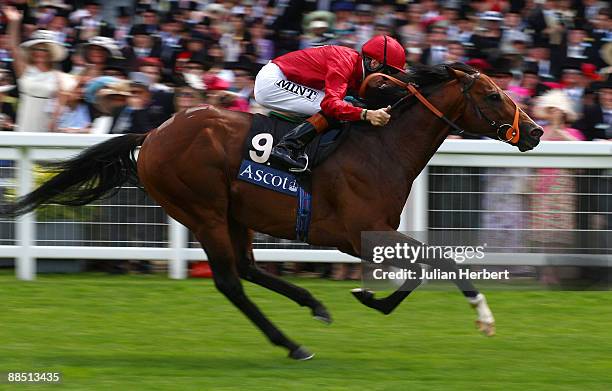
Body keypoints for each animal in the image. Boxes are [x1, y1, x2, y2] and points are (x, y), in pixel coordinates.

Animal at [2, 62, 544, 360]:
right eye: (492, 94)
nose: (537, 132)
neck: (381, 146)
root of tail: (153, 133)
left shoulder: (373, 233)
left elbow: (424, 267)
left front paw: (370, 297)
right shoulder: (362, 231)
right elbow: (441, 261)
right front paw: (483, 316)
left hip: (234, 215)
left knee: (246, 268)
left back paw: (313, 305)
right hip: (204, 212)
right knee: (230, 281)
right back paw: (293, 343)